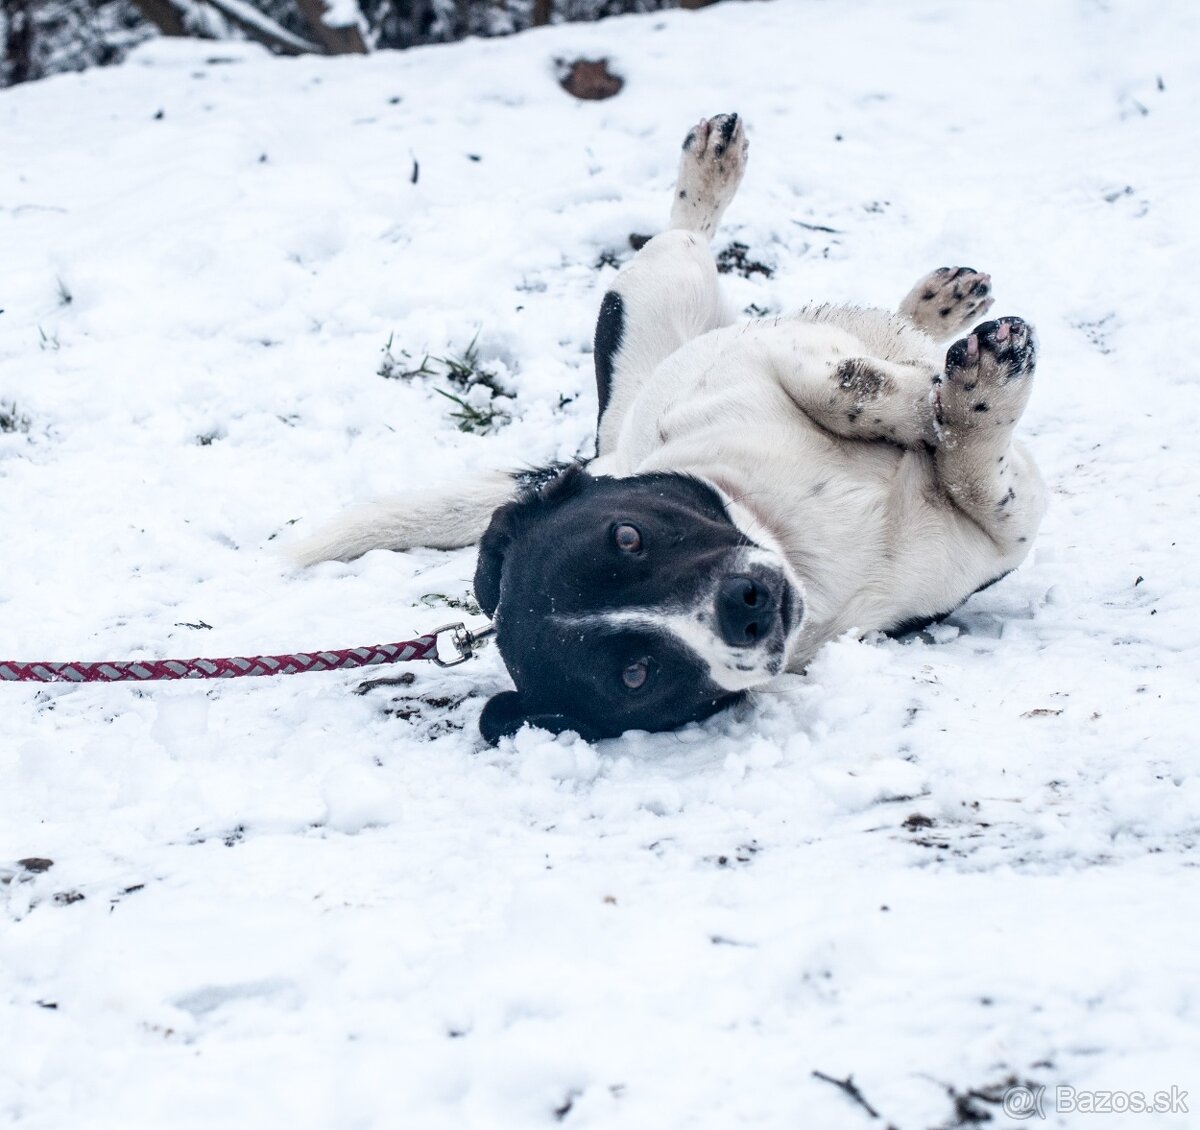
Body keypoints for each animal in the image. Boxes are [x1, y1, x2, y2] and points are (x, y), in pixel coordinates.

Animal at [295, 115, 1046, 748]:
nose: (742, 608)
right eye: (636, 674)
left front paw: (932, 395)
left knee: (691, 235)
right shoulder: (996, 534)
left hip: (667, 296)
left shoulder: (765, 357)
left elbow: (853, 387)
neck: (792, 532)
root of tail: (604, 447)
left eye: (628, 534)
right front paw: (975, 395)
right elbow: (973, 467)